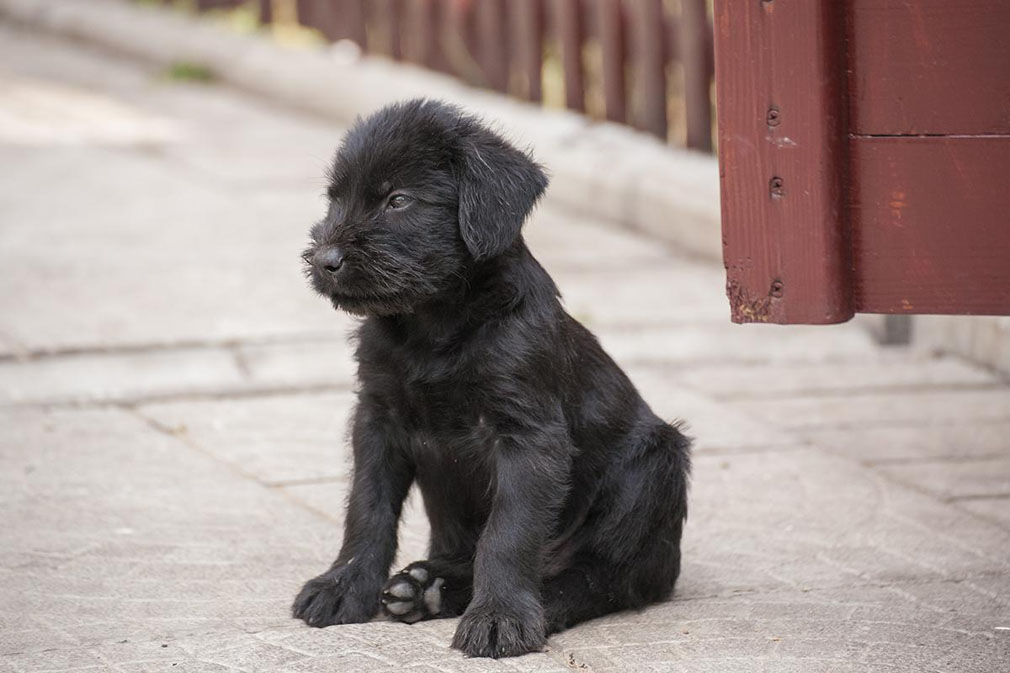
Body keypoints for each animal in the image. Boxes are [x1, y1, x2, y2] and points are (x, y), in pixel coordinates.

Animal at [288, 99, 690, 654]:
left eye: (398, 200)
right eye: (334, 200)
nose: (324, 260)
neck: (434, 327)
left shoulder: (527, 436)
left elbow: (509, 533)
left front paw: (500, 617)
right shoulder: (377, 418)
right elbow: (367, 508)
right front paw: (344, 584)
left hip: (654, 466)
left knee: (604, 576)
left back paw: (537, 605)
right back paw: (429, 588)